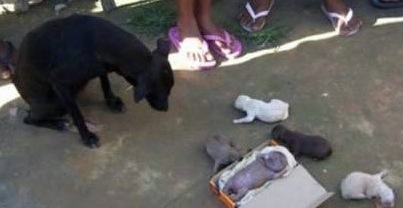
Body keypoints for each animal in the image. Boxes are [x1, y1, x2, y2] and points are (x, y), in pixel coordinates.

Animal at [12, 14, 174, 148]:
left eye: (170, 90)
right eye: (157, 93)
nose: (166, 109)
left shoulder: (101, 67)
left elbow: (105, 83)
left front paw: (112, 102)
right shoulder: (59, 81)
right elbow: (77, 115)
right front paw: (87, 137)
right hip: (56, 103)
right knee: (29, 119)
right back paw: (58, 123)